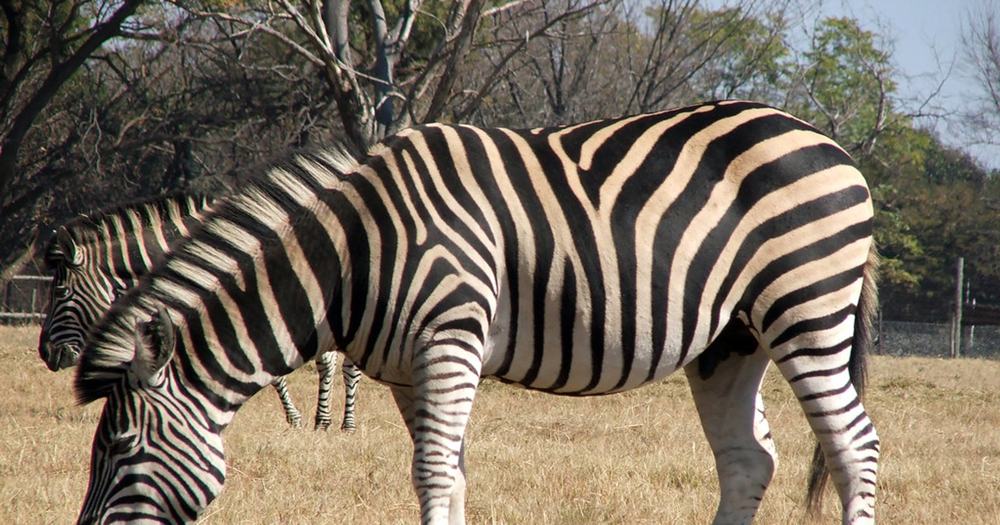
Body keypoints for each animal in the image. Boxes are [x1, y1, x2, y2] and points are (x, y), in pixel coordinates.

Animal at [74, 101, 880, 524]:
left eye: (121, 445)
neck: (355, 253)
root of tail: (823, 136)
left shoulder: (449, 339)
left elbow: (432, 473)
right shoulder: (408, 369)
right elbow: (449, 472)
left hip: (806, 310)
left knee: (853, 447)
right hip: (731, 341)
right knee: (750, 458)